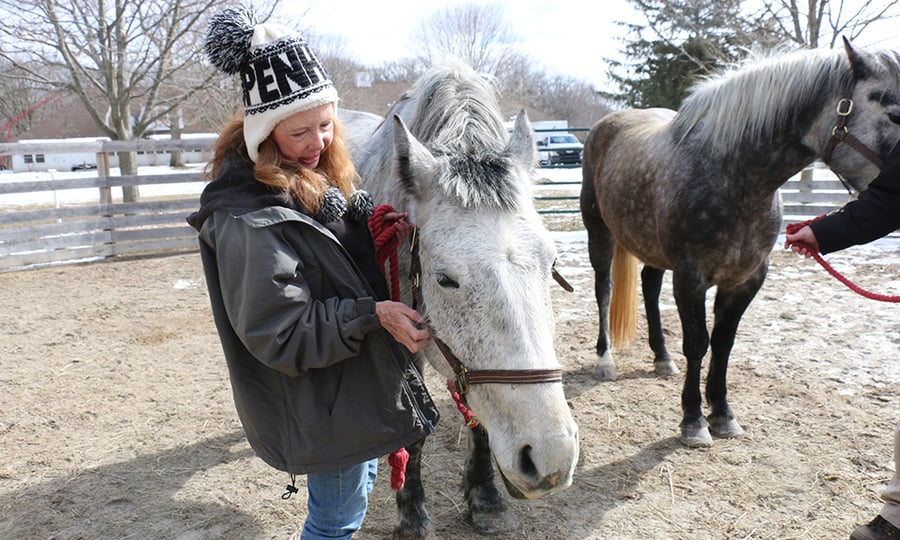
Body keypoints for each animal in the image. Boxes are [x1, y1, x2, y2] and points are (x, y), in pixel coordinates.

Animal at [354, 61, 579, 538]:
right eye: (445, 279)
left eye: (551, 263)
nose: (550, 457)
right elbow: (417, 429)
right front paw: (412, 514)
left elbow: (479, 422)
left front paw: (485, 498)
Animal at [580, 38, 900, 448]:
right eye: (894, 113)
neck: (734, 178)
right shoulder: (691, 278)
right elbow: (697, 342)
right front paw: (693, 421)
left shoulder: (746, 279)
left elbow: (723, 343)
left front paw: (722, 414)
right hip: (599, 231)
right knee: (604, 289)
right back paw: (605, 361)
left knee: (649, 286)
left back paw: (662, 358)